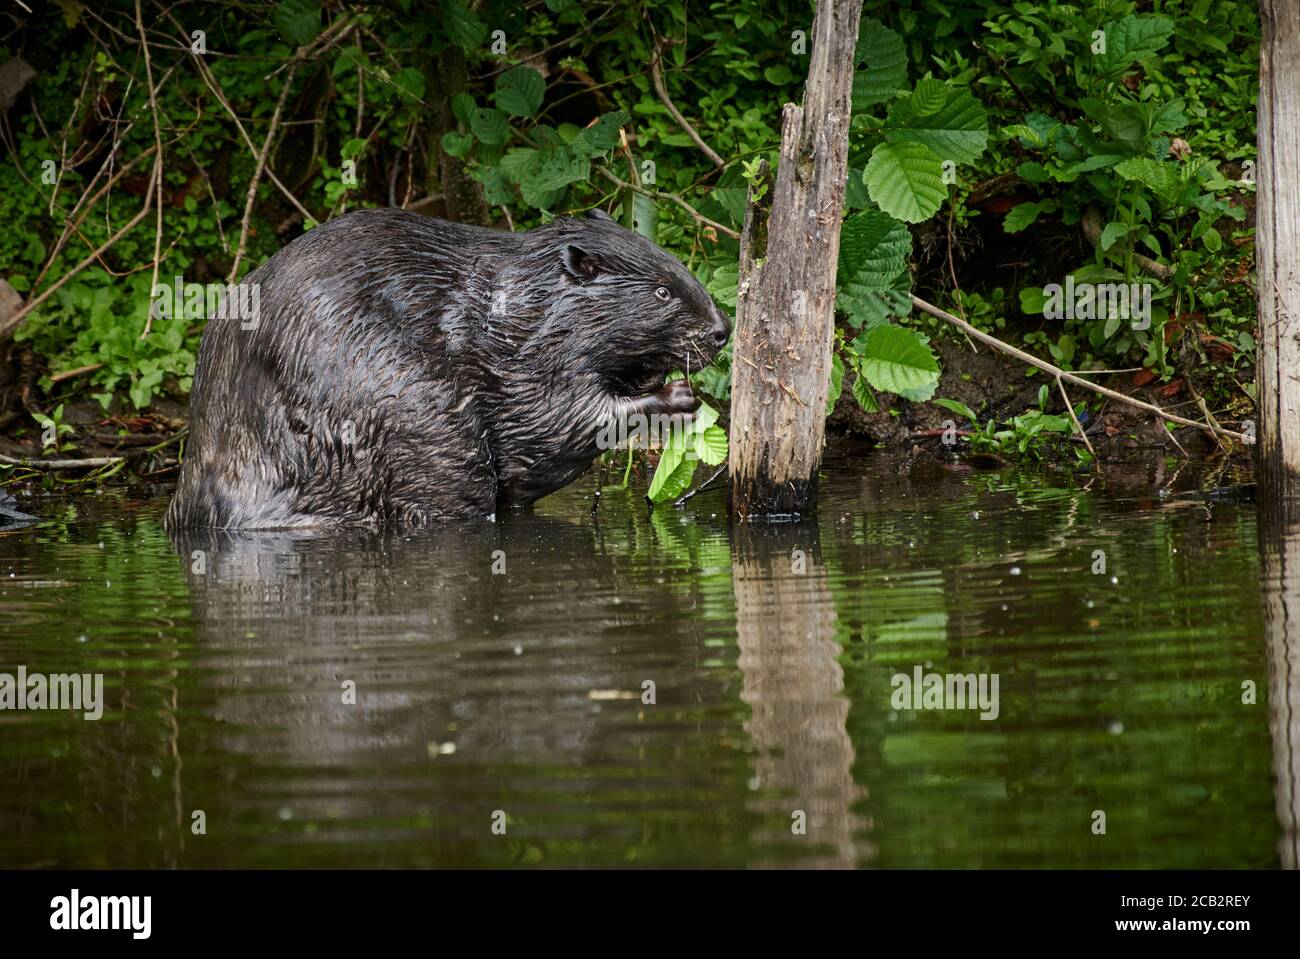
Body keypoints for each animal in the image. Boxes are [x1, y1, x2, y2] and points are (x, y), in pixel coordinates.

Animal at [162, 207, 728, 530]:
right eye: (663, 291)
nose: (721, 331)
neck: (529, 300)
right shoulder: (533, 358)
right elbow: (562, 417)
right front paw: (680, 397)